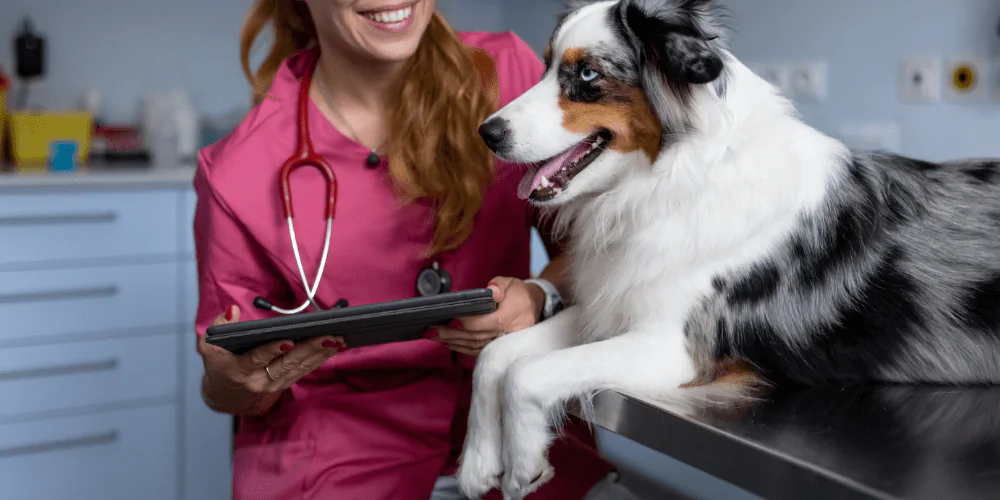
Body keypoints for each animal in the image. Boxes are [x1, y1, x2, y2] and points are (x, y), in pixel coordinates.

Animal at [458, 1, 1000, 498]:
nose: (485, 133)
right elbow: (496, 356)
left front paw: (523, 464)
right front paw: (478, 463)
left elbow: (529, 372)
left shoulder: (678, 346)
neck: (668, 182)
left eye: (588, 73)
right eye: (546, 66)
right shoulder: (611, 308)